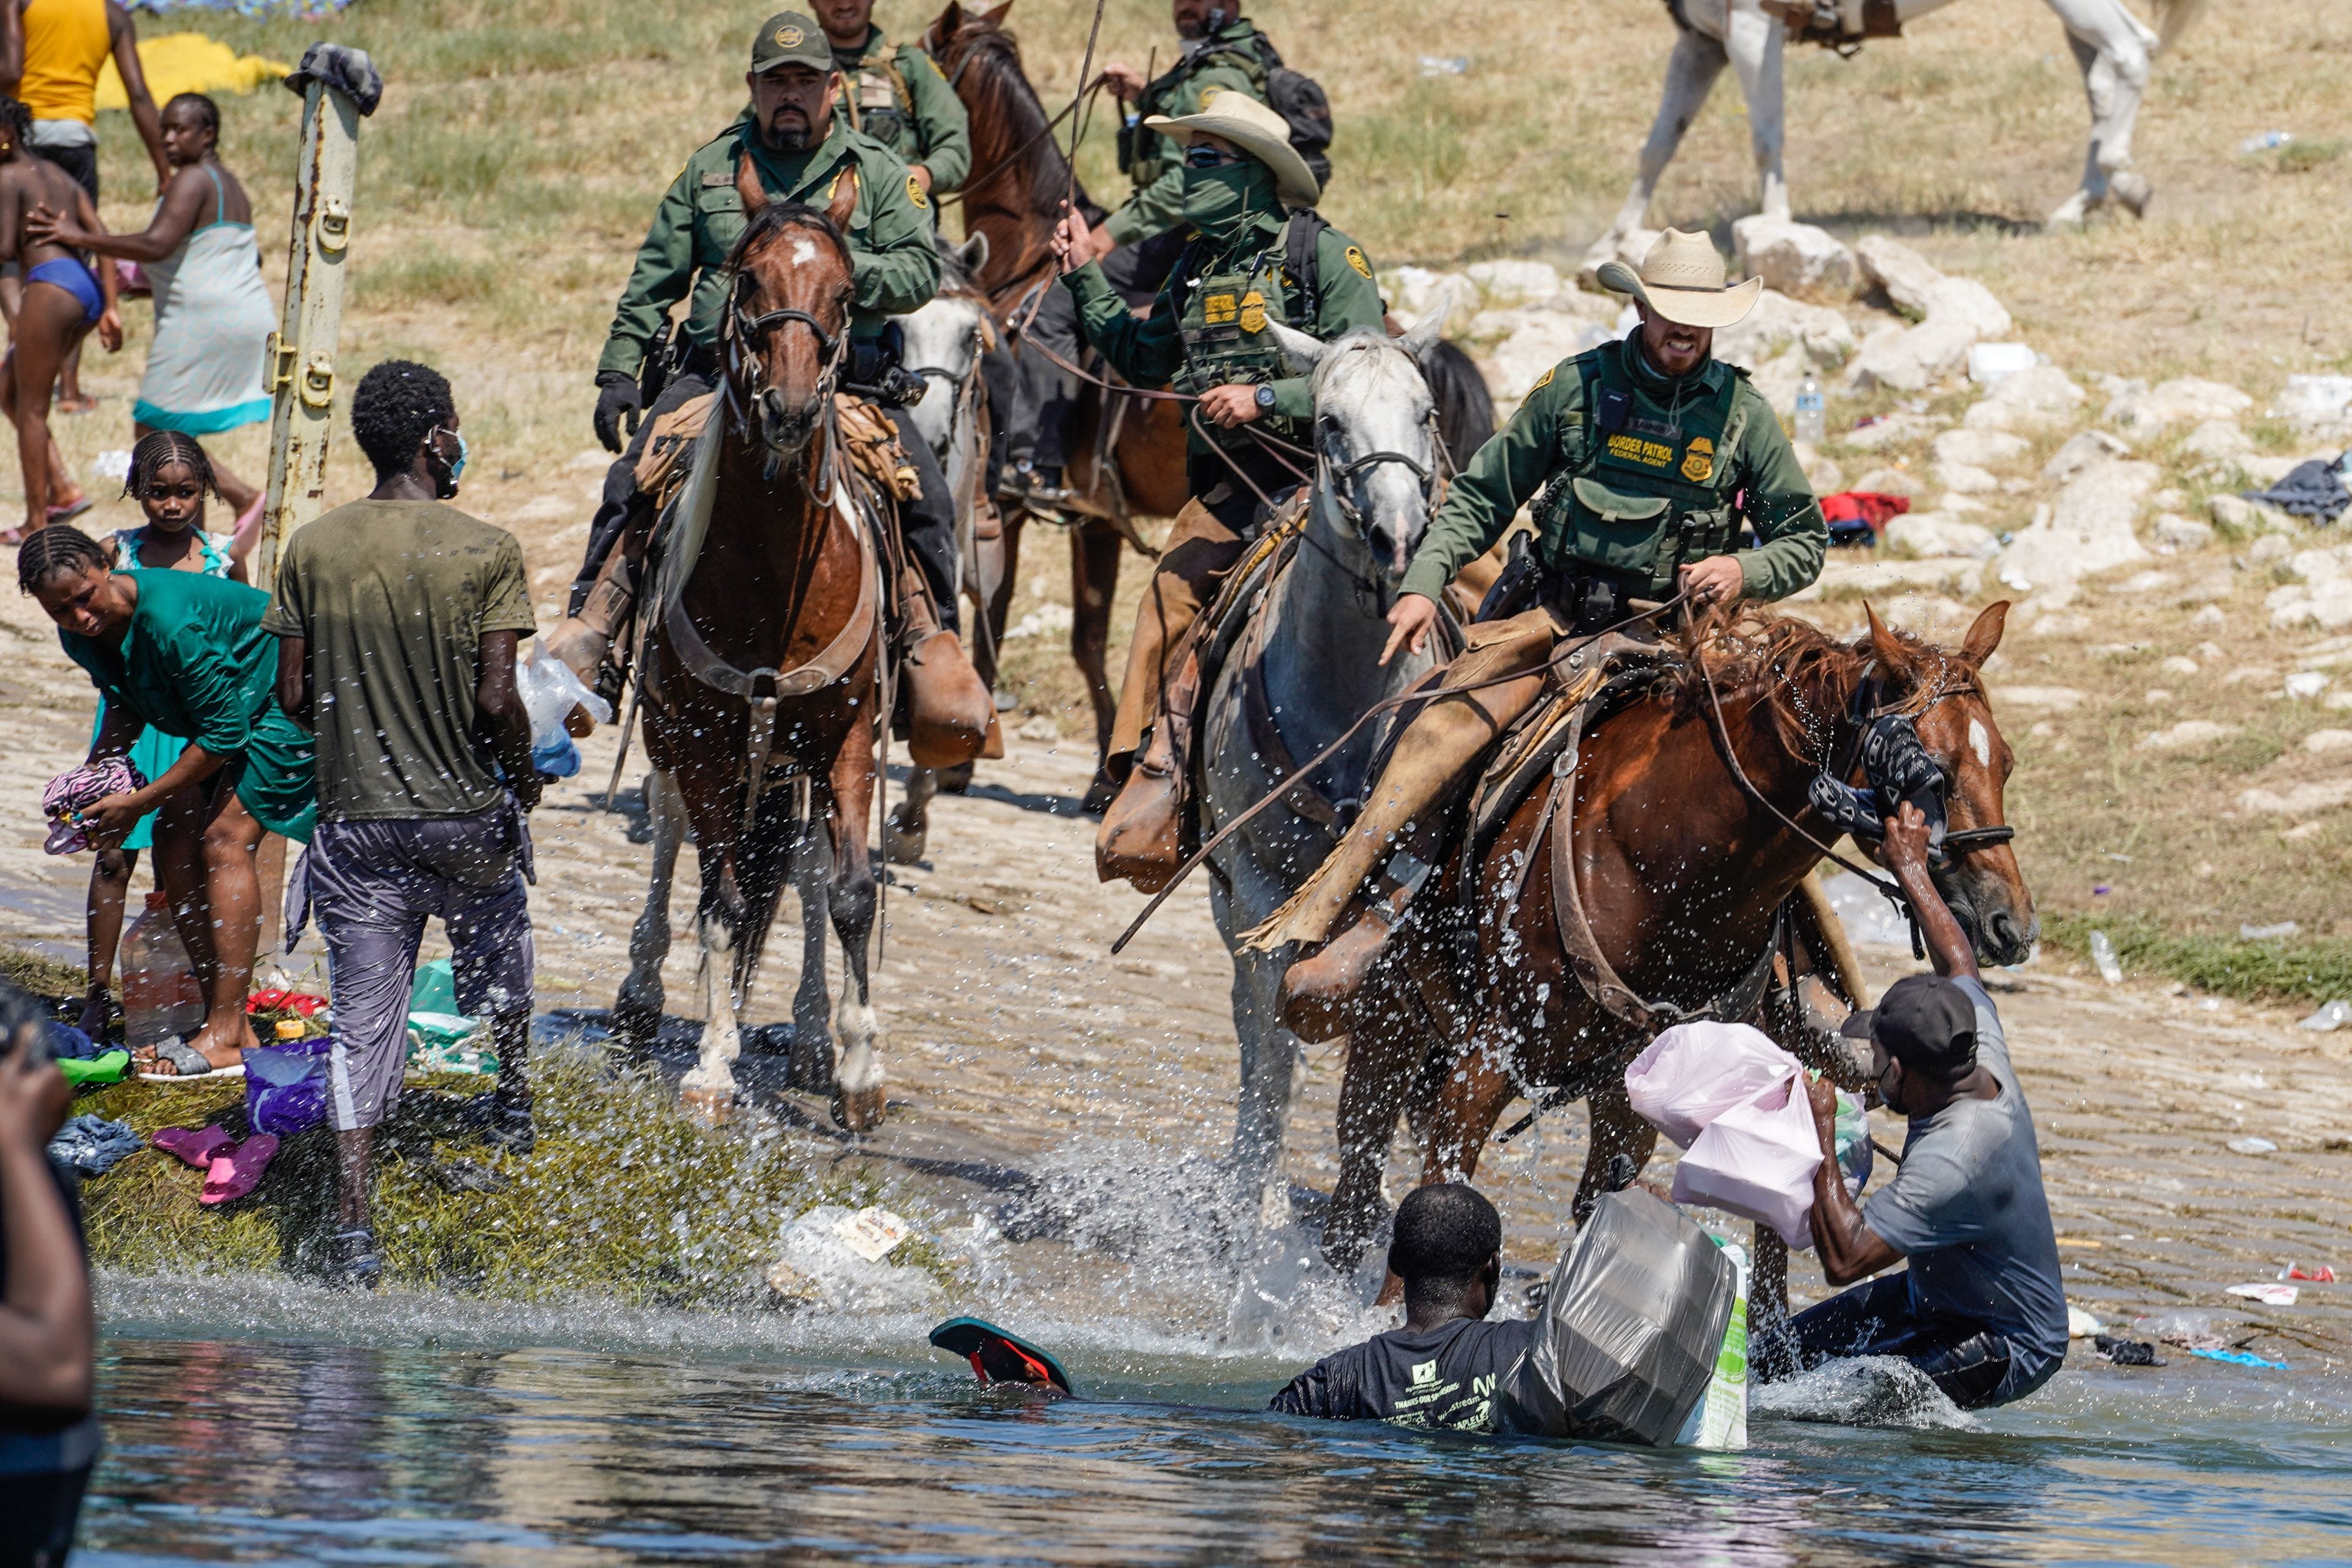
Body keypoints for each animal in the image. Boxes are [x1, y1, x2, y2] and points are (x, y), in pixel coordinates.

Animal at [616, 169, 889, 1128]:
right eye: (747, 279)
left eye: (845, 290)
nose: (793, 407)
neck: (775, 582)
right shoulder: (702, 743)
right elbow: (724, 899)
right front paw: (712, 1064)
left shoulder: (848, 735)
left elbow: (849, 893)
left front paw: (859, 1068)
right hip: (677, 741)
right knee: (670, 837)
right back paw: (642, 996)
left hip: (792, 759)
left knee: (803, 868)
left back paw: (810, 1033)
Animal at [1204, 300, 1458, 1232]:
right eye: (1328, 422)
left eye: (1425, 411)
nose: (1397, 536)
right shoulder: (1261, 886)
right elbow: (1275, 1041)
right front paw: (1257, 1196)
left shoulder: (1396, 884)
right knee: (1255, 1027)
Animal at [1327, 606, 2042, 1279]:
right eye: (1936, 773)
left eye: (2006, 764)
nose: (2012, 925)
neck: (1664, 856)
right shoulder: (1486, 1059)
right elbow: (1438, 1197)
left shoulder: (1630, 1087)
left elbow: (1600, 1205)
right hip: (1390, 1012)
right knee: (1356, 1176)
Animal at [1590, 0, 2211, 266]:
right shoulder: (1702, 41)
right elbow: (1659, 144)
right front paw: (1615, 239)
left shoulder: (1750, 28)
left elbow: (1767, 138)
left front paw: (1776, 232)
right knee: (2100, 79)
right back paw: (2087, 201)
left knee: (2130, 53)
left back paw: (2119, 177)